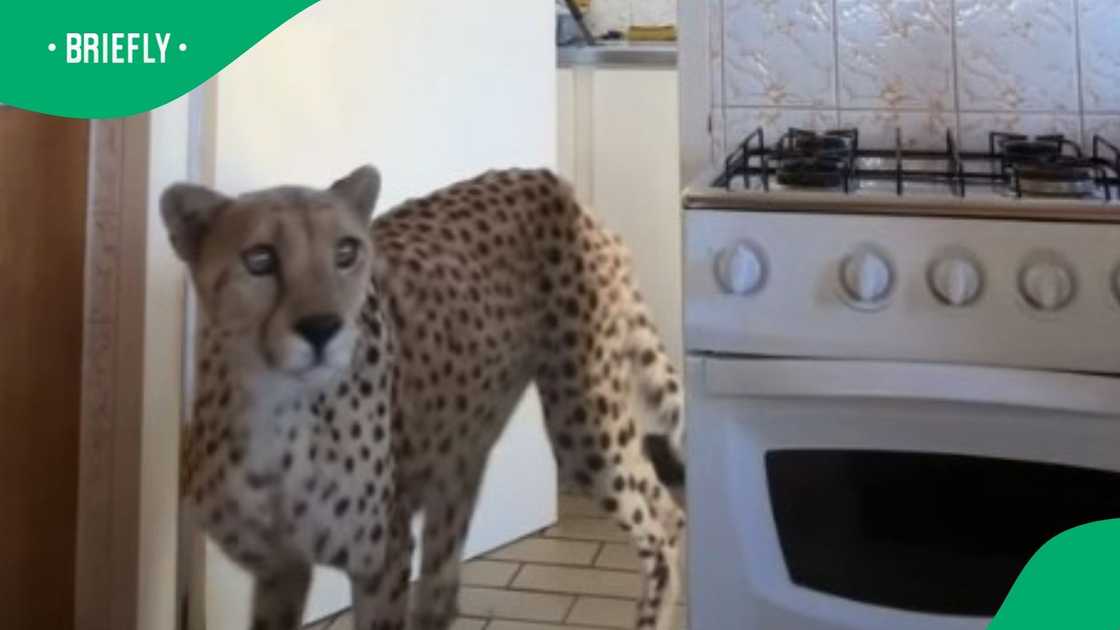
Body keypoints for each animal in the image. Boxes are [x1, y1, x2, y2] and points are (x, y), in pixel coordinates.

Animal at [162, 165, 687, 630]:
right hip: (464, 450)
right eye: (260, 259)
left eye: (346, 251)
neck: (279, 408)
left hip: (584, 427)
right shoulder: (280, 571)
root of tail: (554, 182)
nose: (322, 327)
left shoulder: (381, 559)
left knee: (661, 526)